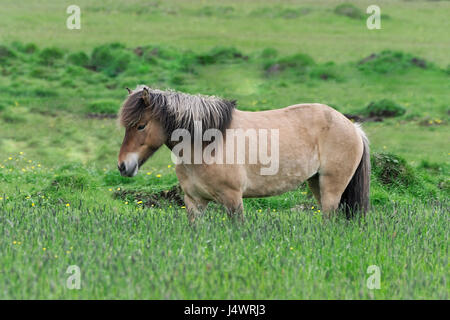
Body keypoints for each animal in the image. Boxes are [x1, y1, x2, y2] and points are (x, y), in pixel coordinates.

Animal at [117, 86, 370, 224]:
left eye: (141, 126)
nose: (123, 166)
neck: (206, 144)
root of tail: (353, 127)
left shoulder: (233, 199)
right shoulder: (194, 202)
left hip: (331, 187)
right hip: (316, 183)